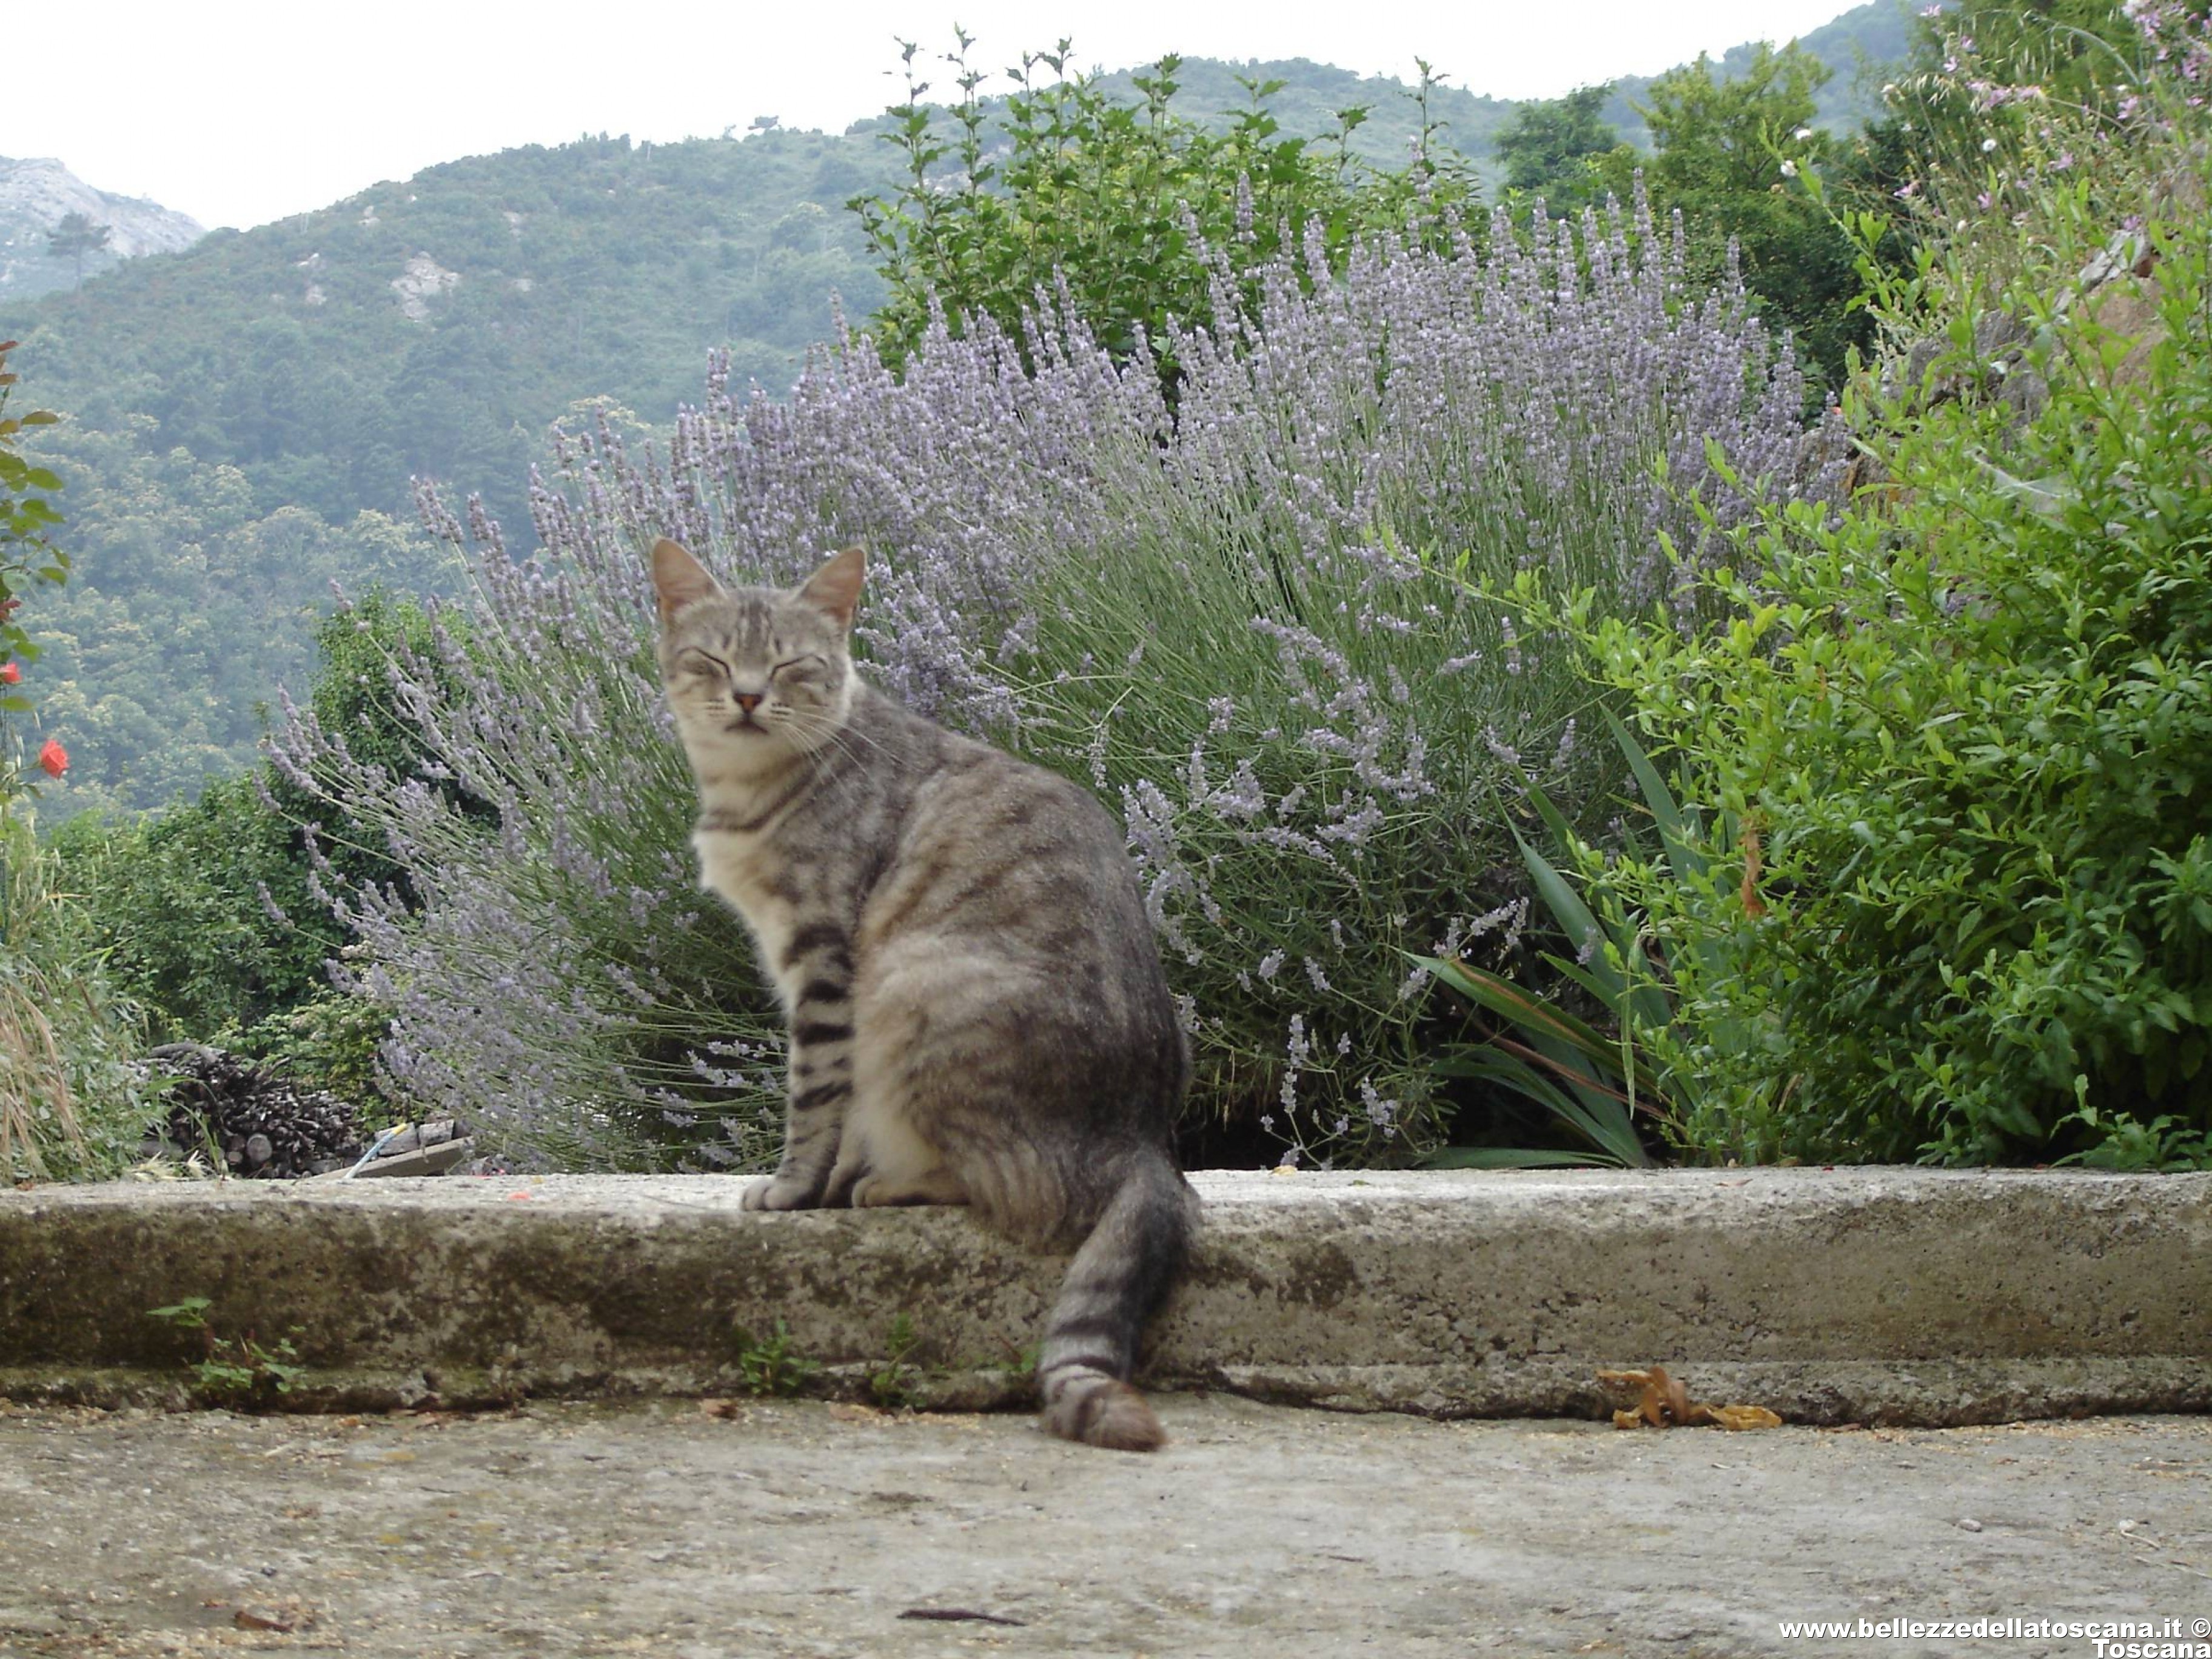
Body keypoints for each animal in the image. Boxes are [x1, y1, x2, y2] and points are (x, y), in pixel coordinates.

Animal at [646, 540, 1203, 1451]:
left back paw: (888, 1185)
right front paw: (822, 1189)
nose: (749, 696)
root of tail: (1145, 1144)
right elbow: (834, 1115)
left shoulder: (823, 962)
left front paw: (795, 1192)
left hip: (912, 988)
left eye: (792, 664)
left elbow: (814, 1103)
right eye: (717, 658)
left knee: (1015, 1189)